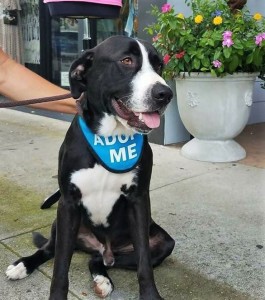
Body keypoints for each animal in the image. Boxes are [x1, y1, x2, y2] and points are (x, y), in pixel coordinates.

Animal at [5, 35, 174, 300]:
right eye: (127, 60)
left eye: (159, 66)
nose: (165, 94)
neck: (110, 138)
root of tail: (104, 248)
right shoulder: (67, 203)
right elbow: (60, 266)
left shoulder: (139, 202)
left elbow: (144, 265)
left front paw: (150, 296)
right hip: (60, 222)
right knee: (49, 250)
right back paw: (23, 265)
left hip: (162, 243)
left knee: (98, 260)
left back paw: (102, 278)